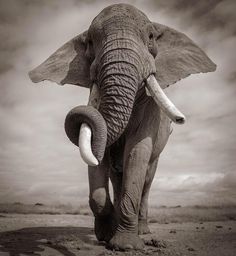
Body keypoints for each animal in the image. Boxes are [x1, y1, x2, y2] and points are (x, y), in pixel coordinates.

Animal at [28, 3, 216, 251]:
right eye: (90, 42)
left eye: (151, 37)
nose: (181, 120)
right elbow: (99, 155)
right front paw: (105, 235)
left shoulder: (150, 109)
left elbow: (138, 151)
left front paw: (126, 246)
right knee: (117, 177)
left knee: (146, 179)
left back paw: (143, 232)